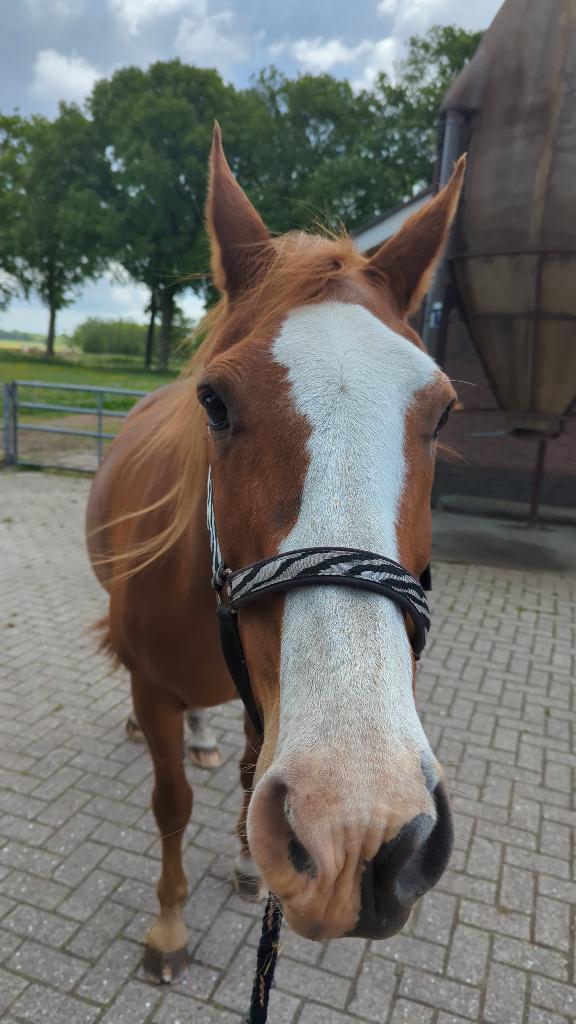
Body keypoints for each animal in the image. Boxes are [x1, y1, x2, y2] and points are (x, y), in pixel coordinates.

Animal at [86, 124, 465, 983]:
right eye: (215, 402)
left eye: (443, 413)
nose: (361, 834)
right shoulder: (154, 688)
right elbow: (171, 806)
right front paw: (169, 926)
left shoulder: (269, 702)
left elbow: (248, 777)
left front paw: (249, 864)